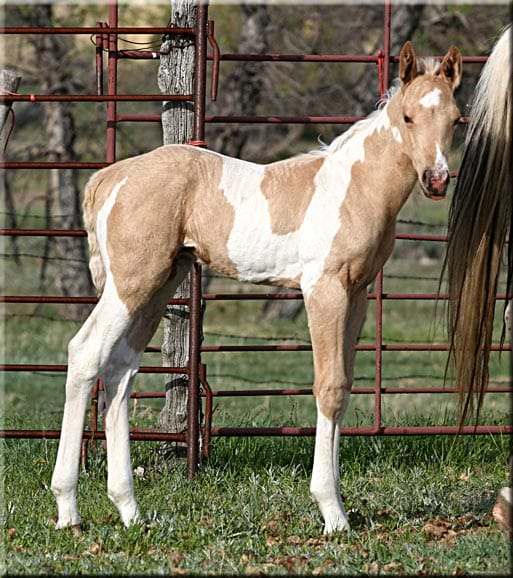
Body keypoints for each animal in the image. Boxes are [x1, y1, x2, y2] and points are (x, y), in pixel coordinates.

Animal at [51, 41, 460, 532]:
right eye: (408, 117)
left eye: (457, 119)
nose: (437, 180)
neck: (353, 186)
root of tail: (111, 177)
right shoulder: (324, 289)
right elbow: (327, 387)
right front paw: (332, 512)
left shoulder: (357, 293)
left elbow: (342, 387)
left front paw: (339, 507)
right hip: (131, 283)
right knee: (85, 354)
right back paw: (68, 509)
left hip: (160, 284)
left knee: (119, 370)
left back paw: (129, 509)